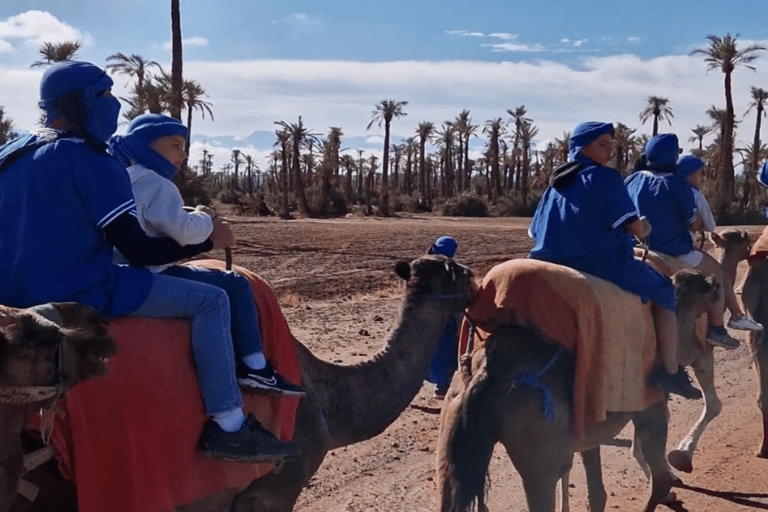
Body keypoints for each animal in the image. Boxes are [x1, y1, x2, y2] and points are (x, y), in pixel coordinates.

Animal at [436, 268, 716, 512]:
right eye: (704, 285)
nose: (715, 281)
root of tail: (486, 371)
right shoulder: (651, 406)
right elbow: (658, 479)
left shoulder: (587, 428)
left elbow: (597, 493)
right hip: (538, 458)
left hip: (451, 435)